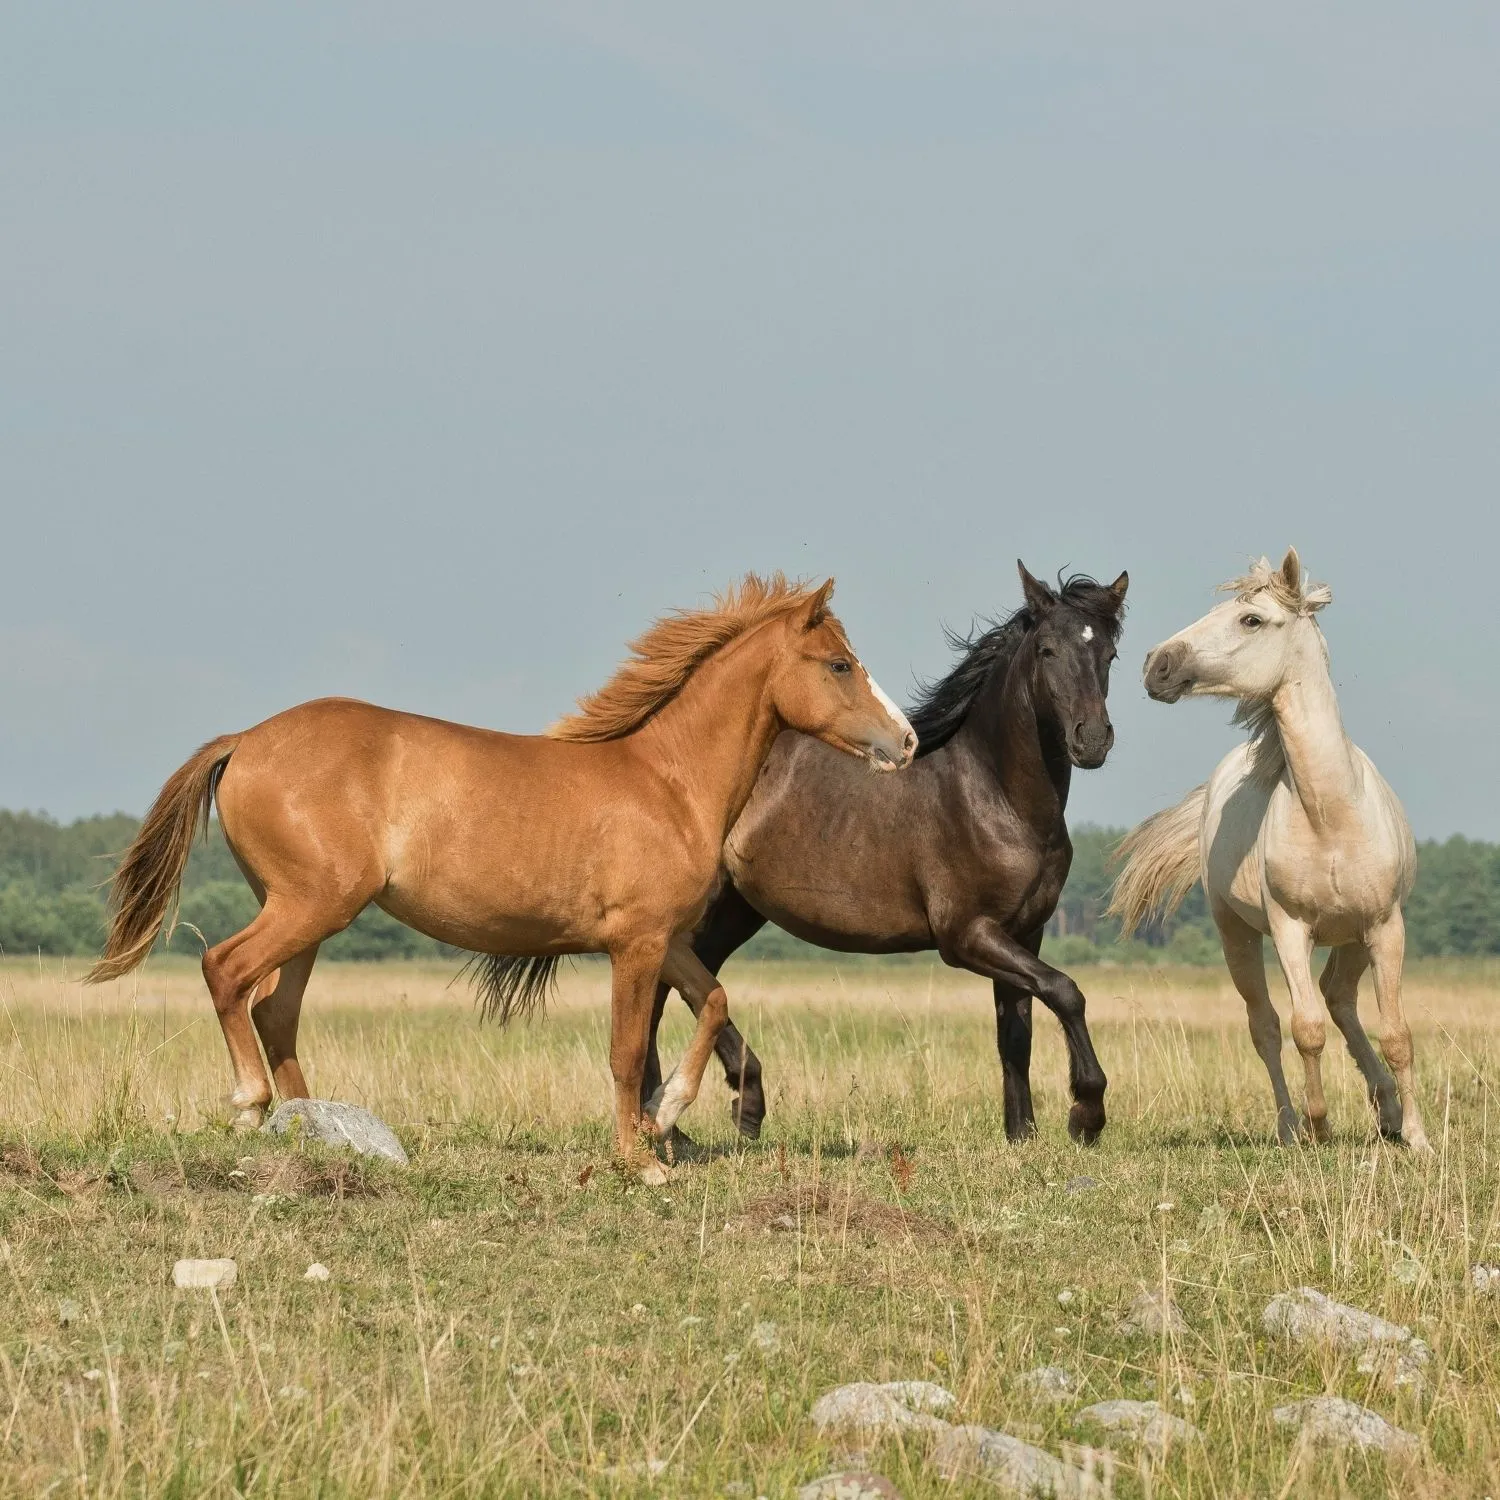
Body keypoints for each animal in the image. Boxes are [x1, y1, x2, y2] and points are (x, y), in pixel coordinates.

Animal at [87, 574, 916, 1180]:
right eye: (840, 664)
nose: (905, 742)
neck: (667, 782)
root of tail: (247, 740)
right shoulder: (635, 944)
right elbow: (625, 1050)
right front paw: (639, 1159)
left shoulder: (666, 939)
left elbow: (713, 1003)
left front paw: (668, 1115)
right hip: (309, 905)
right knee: (226, 971)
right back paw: (251, 1105)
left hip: (307, 915)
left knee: (275, 1010)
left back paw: (314, 1128)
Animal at [643, 563, 1129, 1145]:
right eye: (1047, 650)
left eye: (1109, 654)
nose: (1092, 739)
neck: (995, 797)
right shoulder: (967, 936)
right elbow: (1066, 990)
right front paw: (1086, 1113)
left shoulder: (1023, 933)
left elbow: (1017, 1034)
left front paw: (1022, 1136)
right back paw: (680, 1118)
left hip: (734, 912)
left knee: (689, 984)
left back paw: (710, 1111)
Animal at [1109, 548, 1427, 1151]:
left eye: (1251, 619)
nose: (1156, 664)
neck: (1331, 816)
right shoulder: (1289, 929)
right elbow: (1306, 1029)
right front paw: (1319, 1126)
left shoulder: (1385, 926)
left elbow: (1397, 1033)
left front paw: (1419, 1141)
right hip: (1236, 934)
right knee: (1268, 1026)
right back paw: (1289, 1127)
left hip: (1354, 937)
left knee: (1340, 999)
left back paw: (1389, 1113)